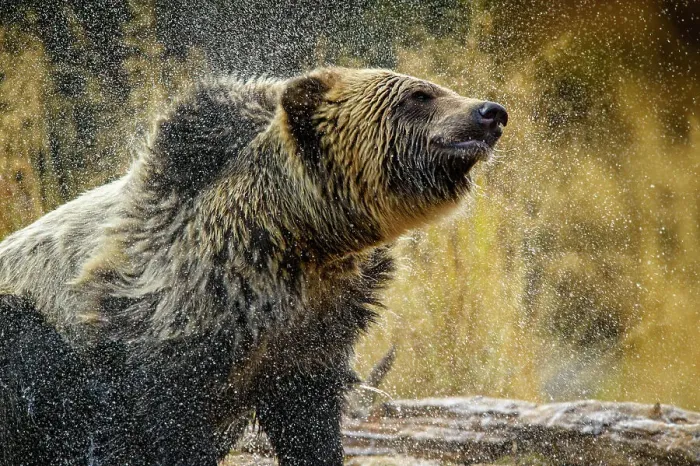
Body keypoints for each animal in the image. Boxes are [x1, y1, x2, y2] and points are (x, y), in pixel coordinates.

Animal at [0, 67, 508, 465]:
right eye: (419, 95)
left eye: (436, 87)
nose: (491, 112)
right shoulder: (154, 344)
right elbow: (145, 432)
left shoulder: (314, 334)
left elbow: (309, 423)